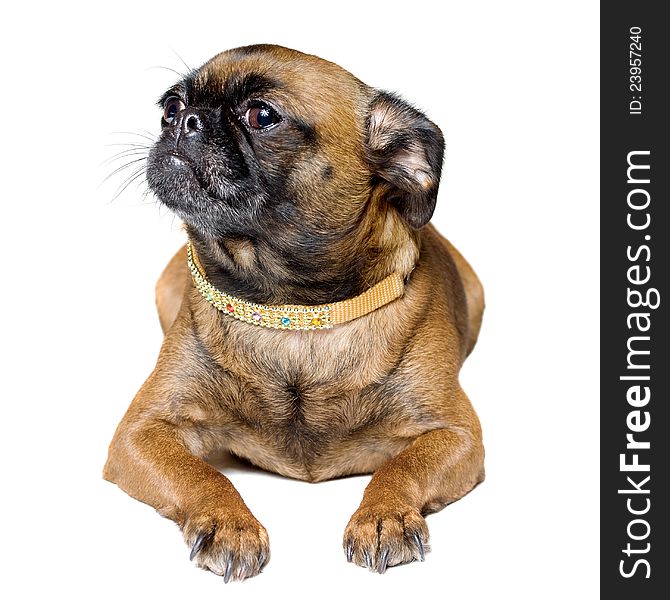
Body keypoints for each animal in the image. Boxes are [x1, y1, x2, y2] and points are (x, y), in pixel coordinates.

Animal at [102, 44, 486, 584]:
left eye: (262, 115)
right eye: (170, 107)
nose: (185, 120)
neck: (291, 309)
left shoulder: (454, 436)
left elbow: (402, 467)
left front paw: (384, 515)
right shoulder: (141, 433)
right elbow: (198, 473)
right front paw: (228, 523)